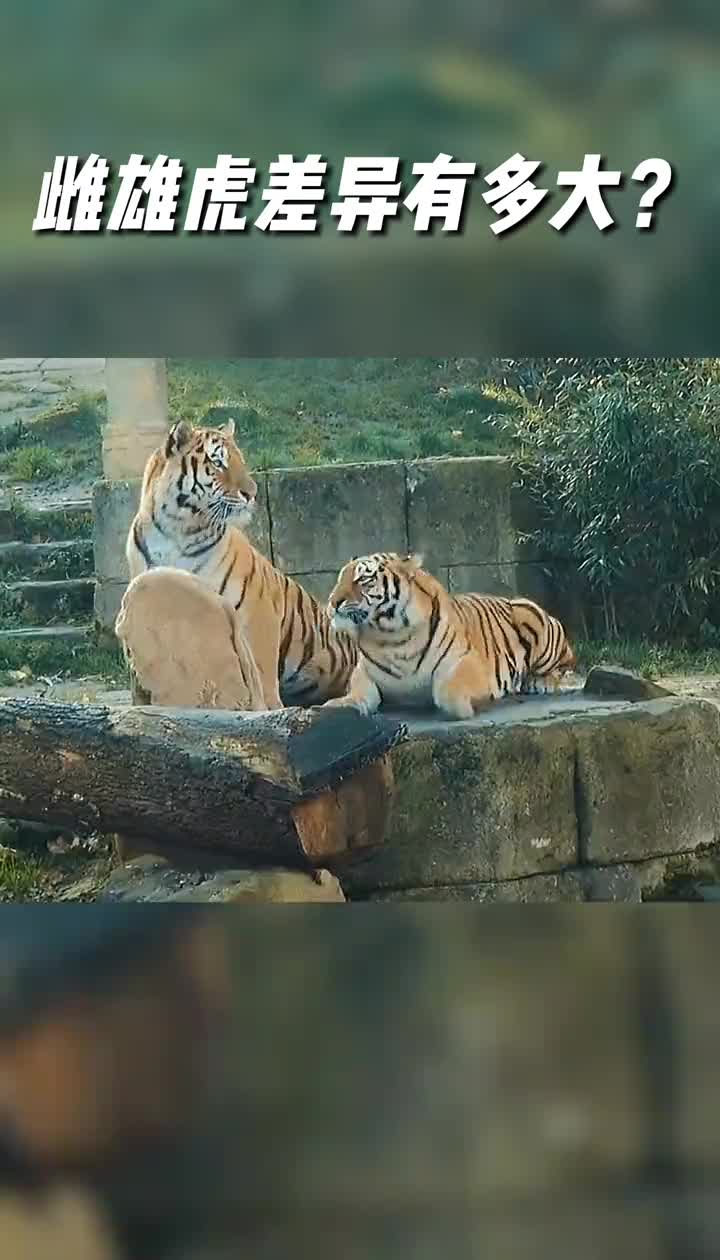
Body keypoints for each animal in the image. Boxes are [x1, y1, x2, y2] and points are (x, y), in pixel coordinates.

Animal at [125, 418, 357, 709]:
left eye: (241, 461)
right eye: (218, 462)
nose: (253, 493)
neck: (176, 530)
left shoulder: (257, 611)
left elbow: (261, 672)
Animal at [324, 551, 575, 720]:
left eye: (363, 580)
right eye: (339, 578)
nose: (332, 602)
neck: (391, 635)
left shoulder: (467, 662)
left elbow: (448, 691)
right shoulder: (362, 671)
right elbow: (357, 691)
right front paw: (339, 704)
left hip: (531, 616)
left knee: (567, 665)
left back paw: (540, 681)